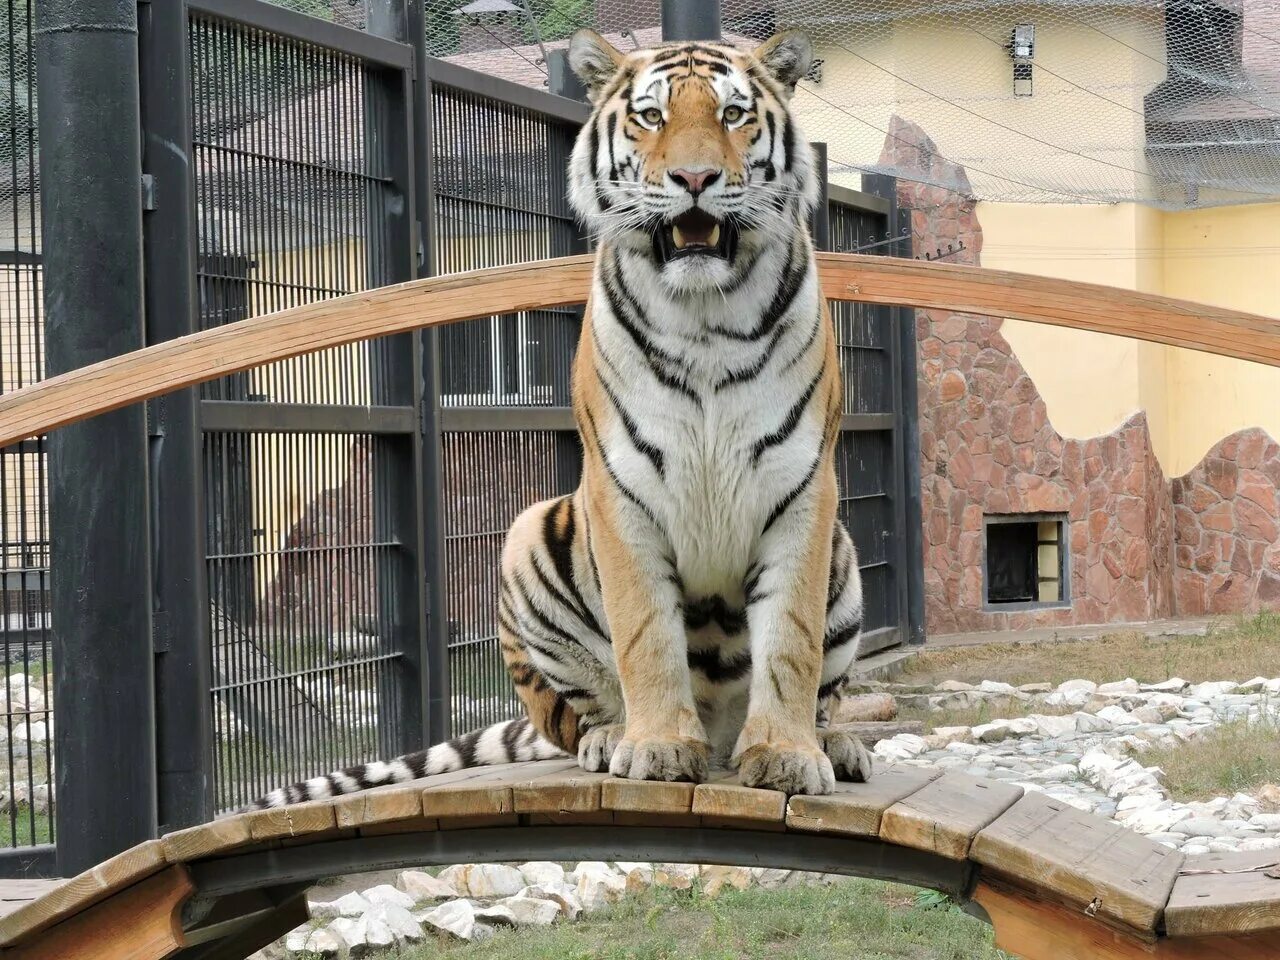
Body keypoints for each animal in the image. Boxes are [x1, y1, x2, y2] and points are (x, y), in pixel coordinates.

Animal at [249, 28, 870, 814]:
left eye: (733, 115)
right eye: (650, 117)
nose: (696, 178)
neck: (707, 317)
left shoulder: (803, 488)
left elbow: (791, 637)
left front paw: (788, 755)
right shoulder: (622, 485)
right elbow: (645, 632)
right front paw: (658, 747)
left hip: (844, 552)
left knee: (827, 690)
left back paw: (835, 744)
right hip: (526, 537)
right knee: (572, 720)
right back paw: (614, 739)